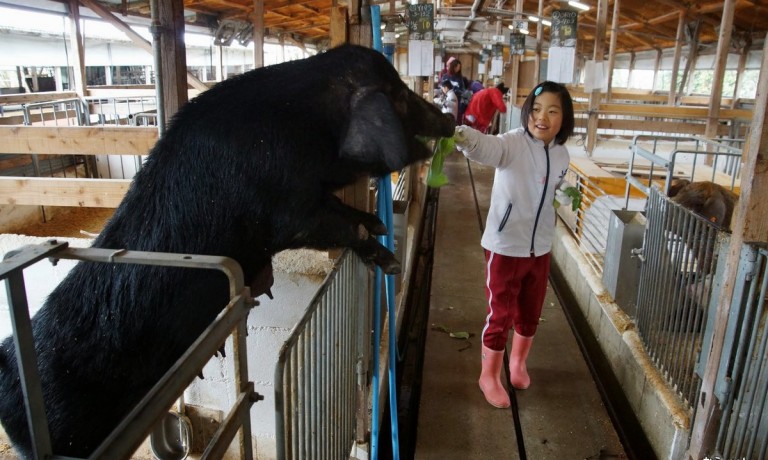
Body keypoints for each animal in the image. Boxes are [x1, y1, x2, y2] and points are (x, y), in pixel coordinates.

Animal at [0, 44, 456, 456]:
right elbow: (335, 226)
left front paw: (380, 224)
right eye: (398, 95)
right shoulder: (286, 210)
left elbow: (344, 211)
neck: (310, 121)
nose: (449, 118)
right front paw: (388, 258)